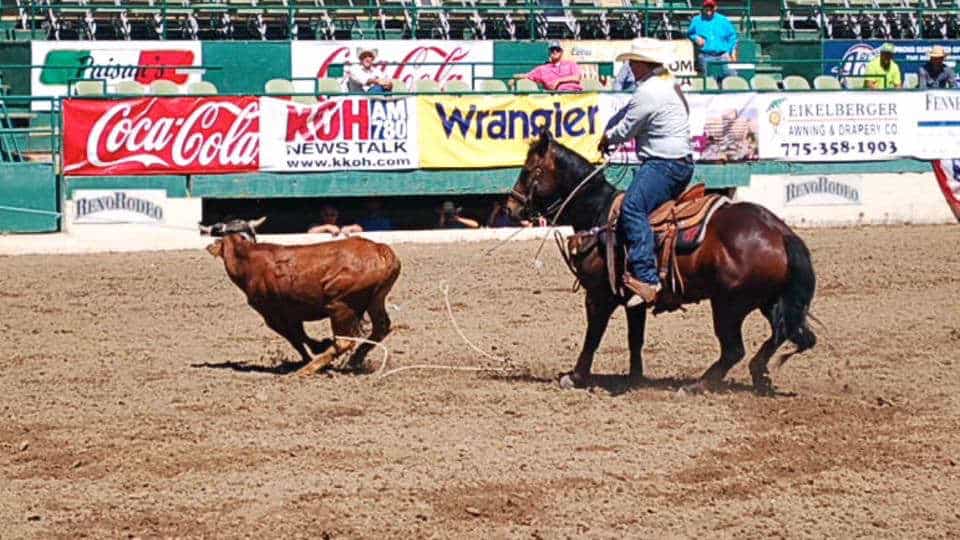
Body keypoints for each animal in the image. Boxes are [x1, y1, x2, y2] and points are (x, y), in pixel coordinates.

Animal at [200, 217, 401, 376]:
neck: (248, 257)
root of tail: (380, 250)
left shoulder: (271, 314)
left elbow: (295, 337)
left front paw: (313, 352)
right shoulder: (291, 313)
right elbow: (300, 336)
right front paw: (315, 349)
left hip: (341, 305)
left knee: (344, 340)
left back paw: (309, 369)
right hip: (376, 300)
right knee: (381, 327)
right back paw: (354, 359)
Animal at [506, 130, 817, 395]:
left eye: (528, 170)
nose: (511, 207)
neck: (599, 212)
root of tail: (780, 231)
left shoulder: (599, 295)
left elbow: (593, 336)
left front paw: (575, 376)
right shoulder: (633, 298)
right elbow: (635, 339)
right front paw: (635, 378)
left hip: (728, 305)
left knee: (734, 349)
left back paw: (697, 385)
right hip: (768, 300)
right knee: (782, 332)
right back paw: (758, 374)